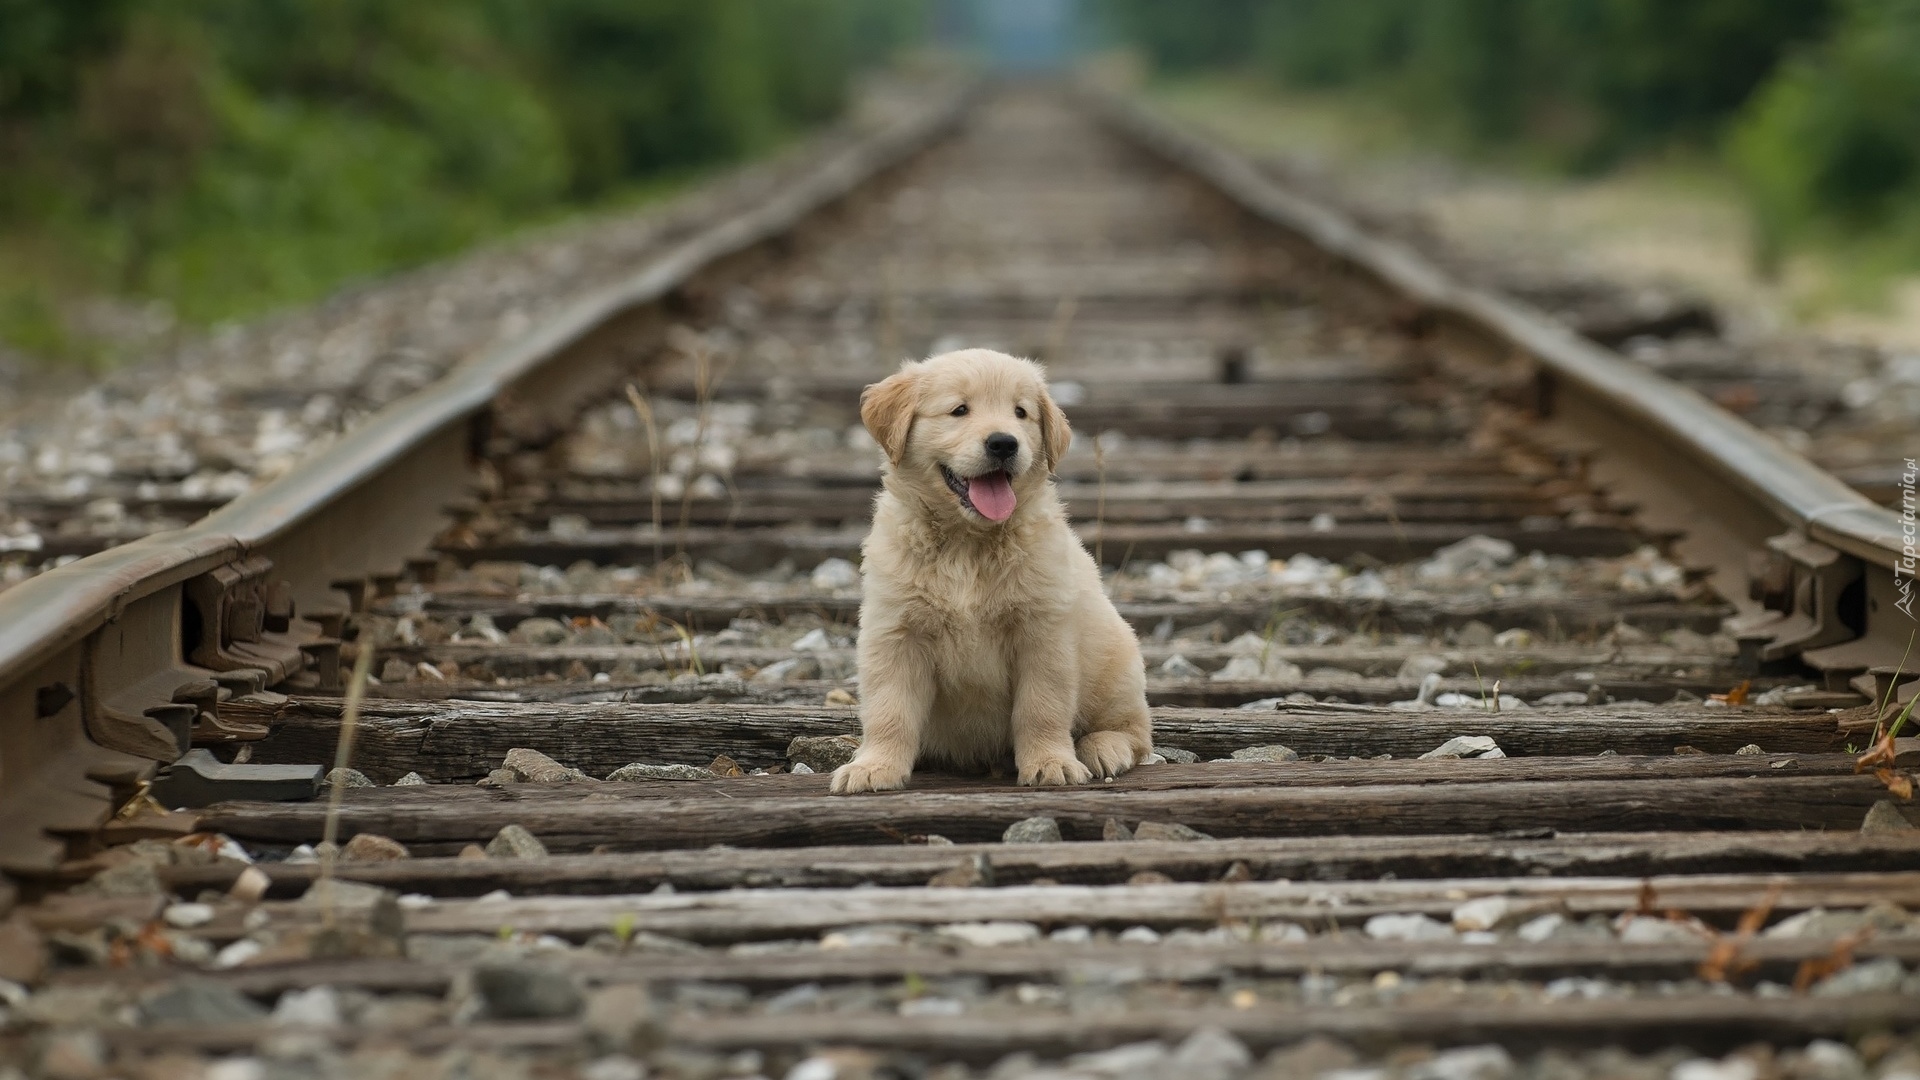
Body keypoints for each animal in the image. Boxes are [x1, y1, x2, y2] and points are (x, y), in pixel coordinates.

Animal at [829, 345, 1152, 791]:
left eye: (1020, 412)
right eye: (959, 410)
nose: (1003, 443)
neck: (967, 544)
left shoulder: (1043, 634)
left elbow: (1041, 707)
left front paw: (1050, 762)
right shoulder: (895, 632)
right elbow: (889, 710)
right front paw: (874, 766)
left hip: (1117, 662)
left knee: (1135, 732)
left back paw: (1104, 748)